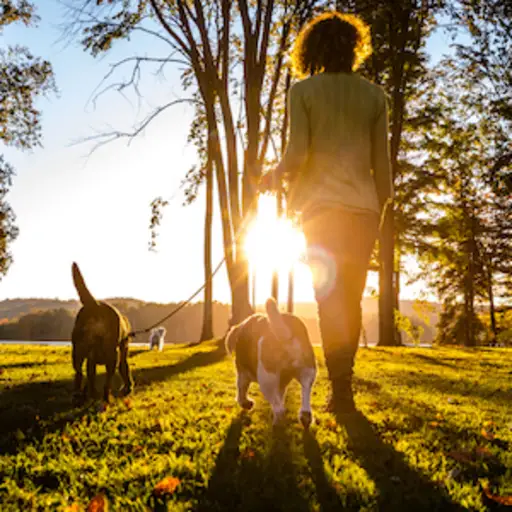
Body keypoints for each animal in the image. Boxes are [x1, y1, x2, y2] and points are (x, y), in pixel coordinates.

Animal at [70, 264, 133, 404]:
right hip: (112, 355)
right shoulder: (121, 353)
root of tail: (96, 305)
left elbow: (90, 377)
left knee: (79, 373)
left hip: (77, 350)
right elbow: (123, 368)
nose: (129, 390)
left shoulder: (91, 360)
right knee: (106, 383)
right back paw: (106, 399)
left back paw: (79, 395)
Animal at [225, 298, 316, 426]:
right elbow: (280, 396)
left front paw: (246, 403)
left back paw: (276, 424)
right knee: (305, 392)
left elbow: (241, 389)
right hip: (307, 372)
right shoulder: (282, 383)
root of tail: (287, 332)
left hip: (267, 380)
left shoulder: (243, 373)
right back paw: (305, 416)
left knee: (279, 409)